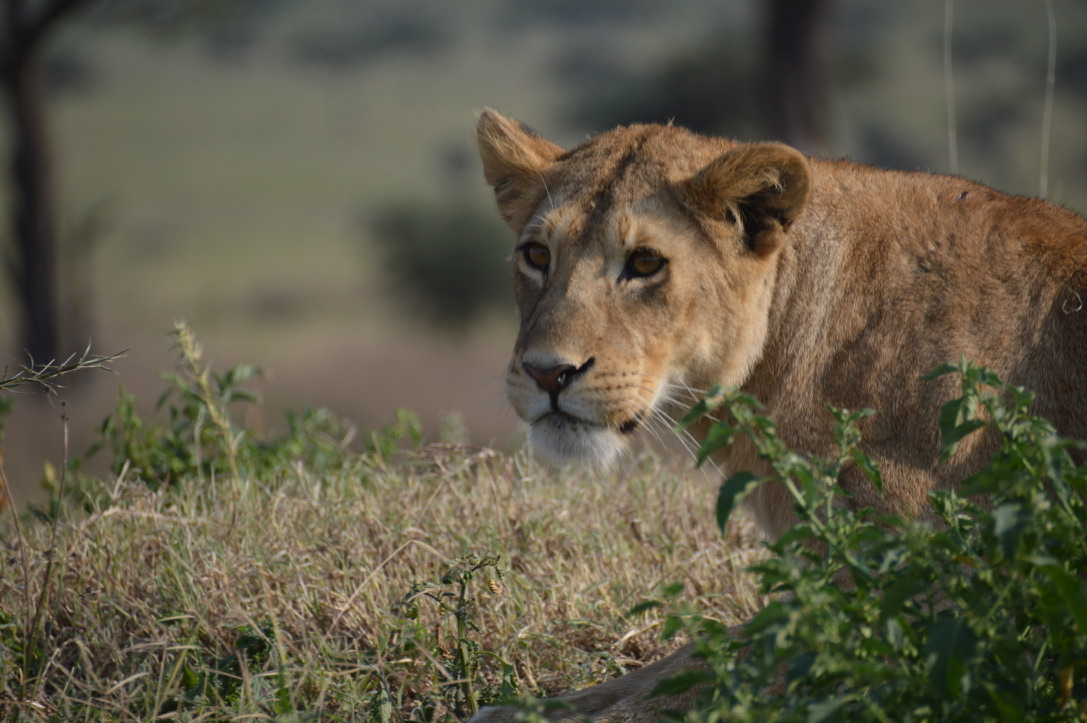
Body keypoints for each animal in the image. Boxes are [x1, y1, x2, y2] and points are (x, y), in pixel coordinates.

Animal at [469, 108, 1087, 722]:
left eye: (645, 262)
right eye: (537, 255)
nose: (549, 373)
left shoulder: (953, 592)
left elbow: (718, 674)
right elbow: (689, 657)